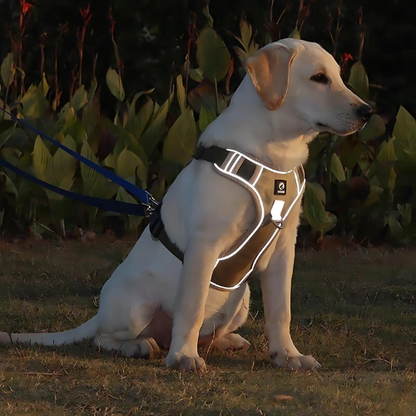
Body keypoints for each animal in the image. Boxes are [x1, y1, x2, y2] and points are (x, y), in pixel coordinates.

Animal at [0, 39, 374, 370]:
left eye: (338, 76)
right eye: (318, 78)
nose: (368, 111)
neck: (272, 154)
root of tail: (98, 314)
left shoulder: (284, 247)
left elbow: (281, 311)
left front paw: (288, 356)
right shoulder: (205, 245)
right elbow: (191, 307)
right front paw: (183, 357)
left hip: (241, 299)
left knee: (208, 332)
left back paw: (224, 341)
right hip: (137, 305)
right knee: (106, 338)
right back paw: (141, 346)